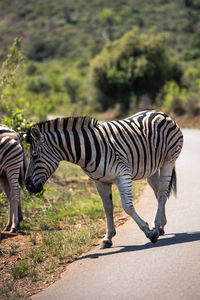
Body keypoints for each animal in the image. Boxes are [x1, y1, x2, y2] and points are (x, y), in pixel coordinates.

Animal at [25, 110, 184, 246]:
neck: (89, 150)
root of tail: (160, 113)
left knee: (162, 194)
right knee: (158, 193)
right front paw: (108, 237)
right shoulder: (100, 181)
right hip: (151, 169)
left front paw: (148, 232)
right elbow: (107, 208)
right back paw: (160, 226)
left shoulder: (123, 175)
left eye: (34, 155)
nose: (28, 186)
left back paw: (155, 226)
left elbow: (127, 207)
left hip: (168, 161)